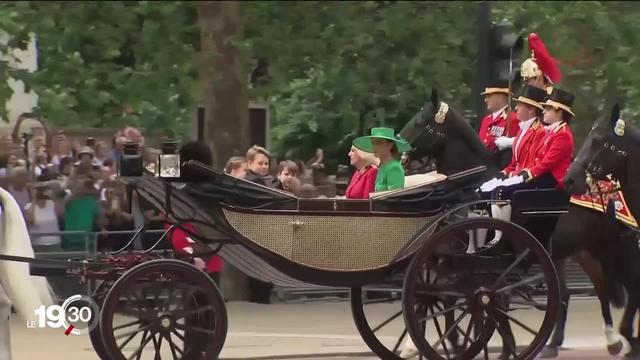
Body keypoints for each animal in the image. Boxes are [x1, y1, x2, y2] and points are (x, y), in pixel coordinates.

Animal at [400, 90, 624, 358]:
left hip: (595, 247)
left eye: (420, 121)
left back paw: (611, 339)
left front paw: (479, 343)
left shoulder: (486, 264)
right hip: (574, 252)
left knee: (603, 287)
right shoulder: (453, 257)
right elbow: (439, 294)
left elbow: (473, 298)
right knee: (581, 289)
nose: (401, 157)